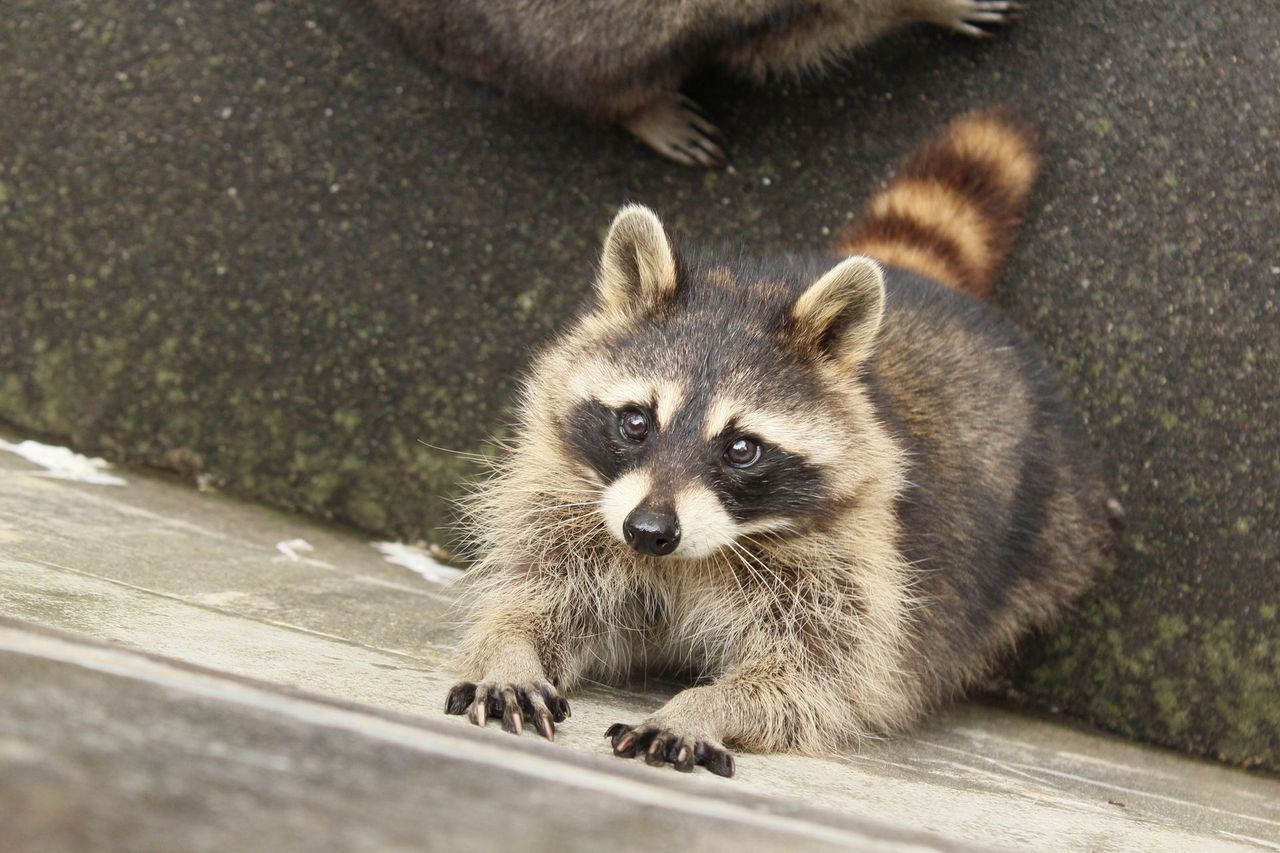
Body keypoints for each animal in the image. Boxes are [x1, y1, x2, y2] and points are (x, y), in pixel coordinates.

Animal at [444, 111, 1116, 777]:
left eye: (741, 449)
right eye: (636, 422)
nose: (649, 531)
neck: (690, 560)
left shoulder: (853, 566)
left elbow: (815, 677)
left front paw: (704, 706)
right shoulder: (572, 509)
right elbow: (539, 593)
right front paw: (510, 650)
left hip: (1053, 534)